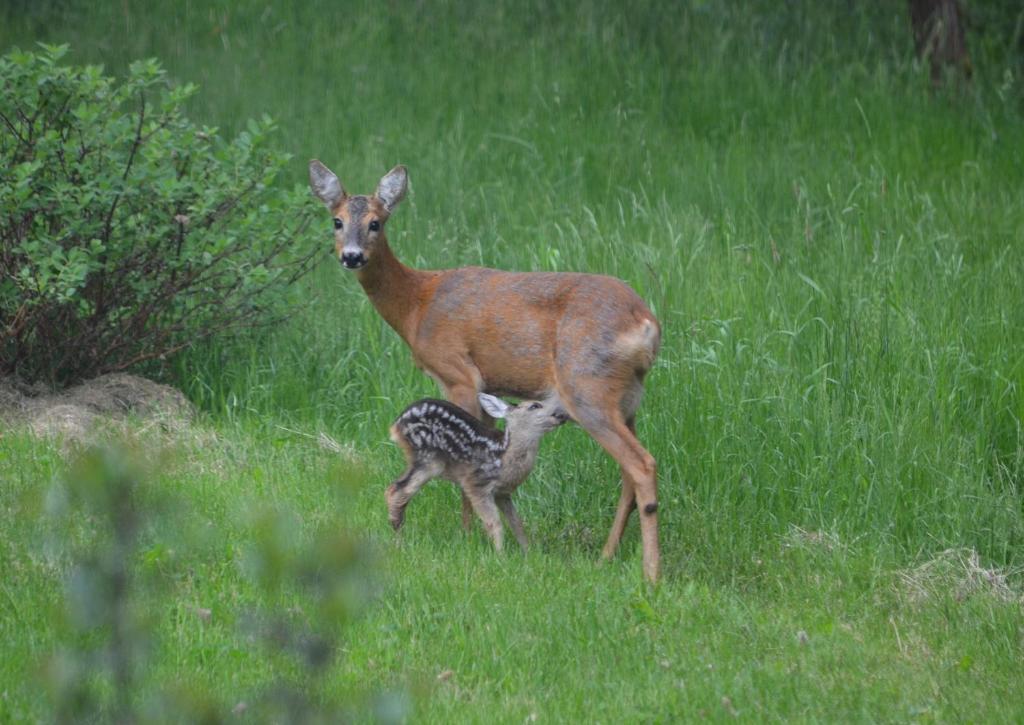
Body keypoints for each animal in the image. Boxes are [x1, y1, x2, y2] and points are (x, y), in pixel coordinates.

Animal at [387, 392, 568, 551]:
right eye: (535, 405)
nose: (561, 415)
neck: (503, 456)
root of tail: (396, 425)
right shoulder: (476, 483)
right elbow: (494, 522)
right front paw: (500, 555)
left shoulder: (502, 493)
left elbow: (516, 522)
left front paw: (528, 552)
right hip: (428, 458)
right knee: (397, 491)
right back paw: (399, 544)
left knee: (393, 489)